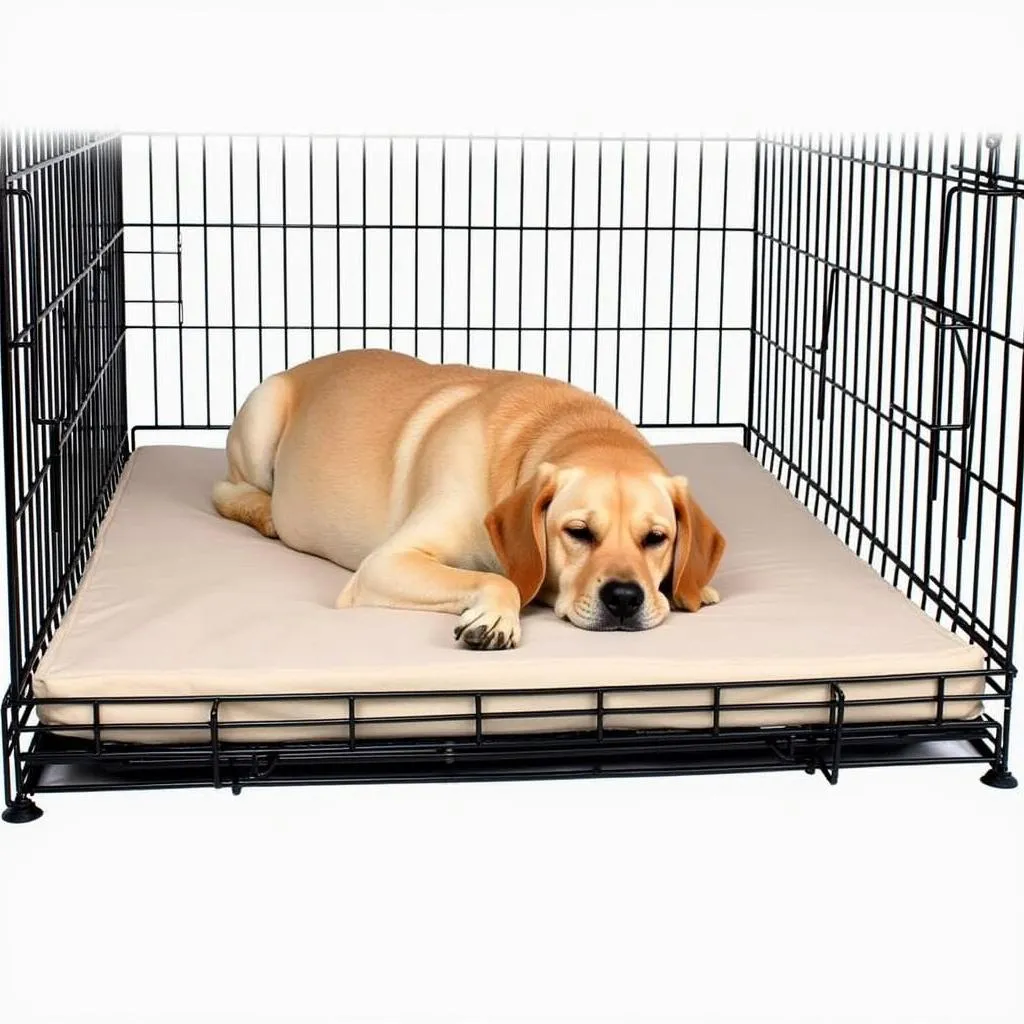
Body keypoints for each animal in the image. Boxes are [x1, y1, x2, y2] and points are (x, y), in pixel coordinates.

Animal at [209, 350, 720, 647]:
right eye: (578, 532)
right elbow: (500, 580)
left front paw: (692, 588)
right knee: (227, 490)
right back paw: (266, 513)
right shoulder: (386, 563)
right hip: (261, 416)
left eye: (656, 538)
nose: (624, 598)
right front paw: (497, 616)